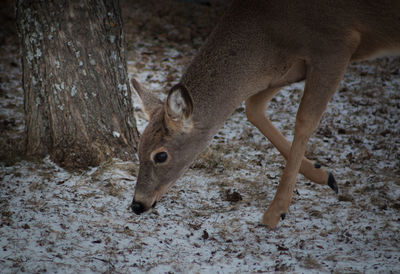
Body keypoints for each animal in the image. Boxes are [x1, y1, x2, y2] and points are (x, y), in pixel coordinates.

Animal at [130, 0, 400, 229]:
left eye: (161, 155)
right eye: (139, 148)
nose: (137, 204)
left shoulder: (335, 45)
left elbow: (305, 120)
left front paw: (275, 212)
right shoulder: (287, 68)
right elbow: (253, 106)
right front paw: (324, 174)